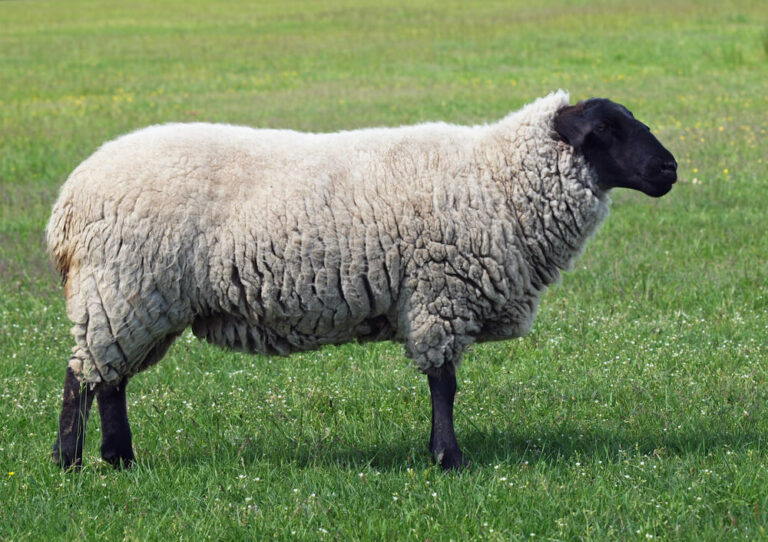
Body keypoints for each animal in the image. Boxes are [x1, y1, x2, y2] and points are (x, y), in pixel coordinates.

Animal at [47, 91, 677, 470]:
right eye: (606, 129)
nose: (670, 168)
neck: (496, 179)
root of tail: (69, 199)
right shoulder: (438, 296)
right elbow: (445, 384)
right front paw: (448, 458)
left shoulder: (434, 299)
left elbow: (442, 384)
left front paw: (439, 452)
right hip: (121, 288)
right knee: (85, 378)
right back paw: (70, 462)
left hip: (134, 299)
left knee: (111, 380)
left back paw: (119, 458)